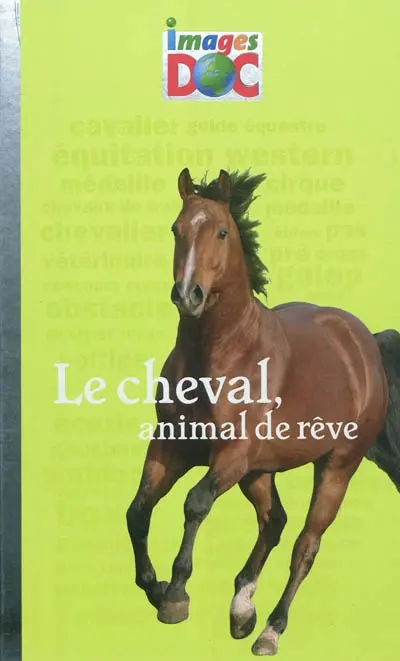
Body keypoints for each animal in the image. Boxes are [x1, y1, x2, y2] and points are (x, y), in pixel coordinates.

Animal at [126, 168, 400, 656]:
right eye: (176, 229)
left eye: (221, 231)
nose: (188, 295)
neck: (220, 354)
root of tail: (364, 340)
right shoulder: (171, 446)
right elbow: (137, 511)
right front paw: (155, 587)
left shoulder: (231, 455)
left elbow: (194, 503)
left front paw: (175, 595)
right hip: (260, 471)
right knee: (274, 521)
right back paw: (242, 610)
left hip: (336, 466)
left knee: (305, 544)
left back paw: (270, 628)